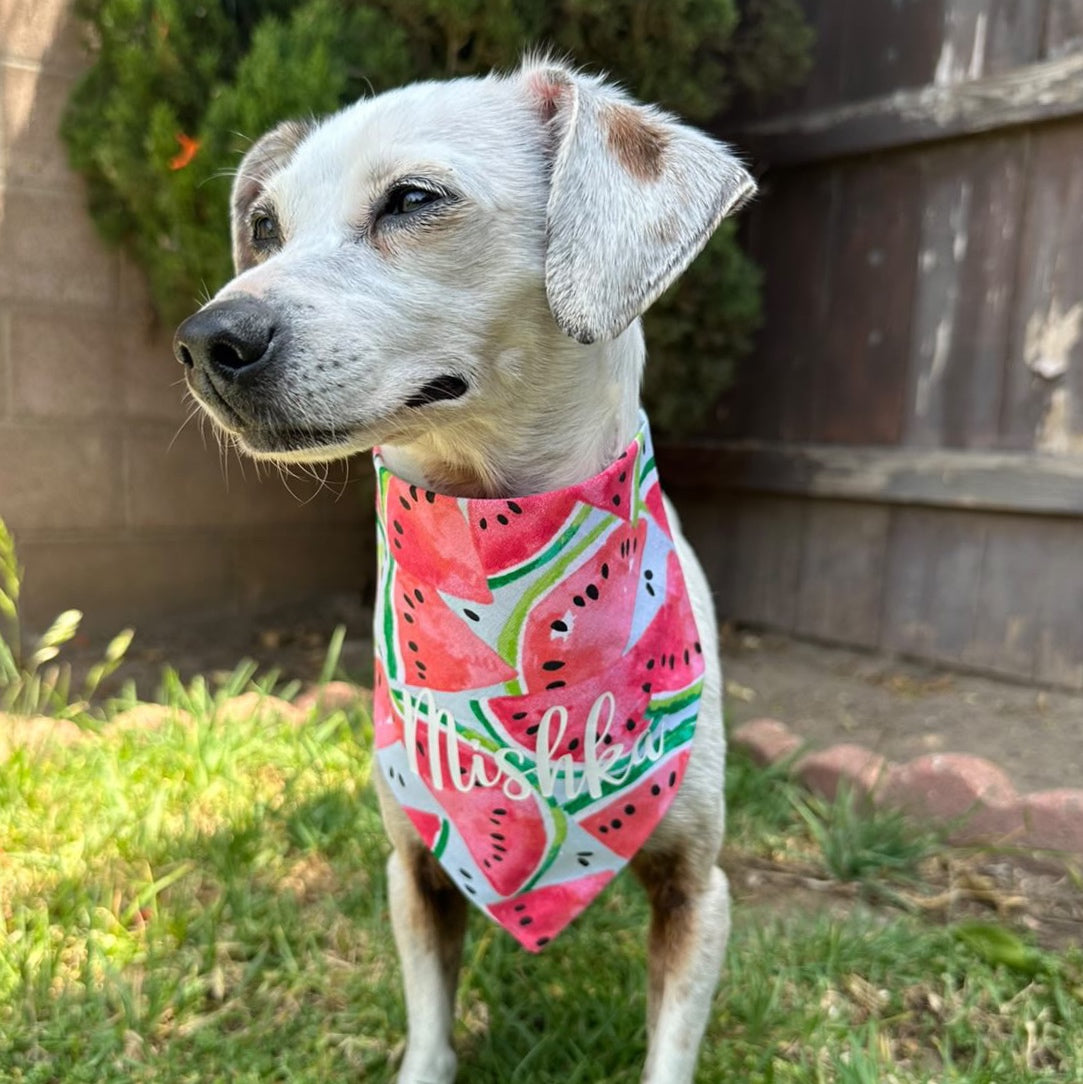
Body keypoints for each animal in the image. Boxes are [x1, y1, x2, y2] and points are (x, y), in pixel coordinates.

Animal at [175, 59, 754, 1084]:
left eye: (413, 199)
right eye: (266, 227)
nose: (208, 341)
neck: (492, 525)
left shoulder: (695, 891)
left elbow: (669, 1046)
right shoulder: (416, 870)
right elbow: (430, 1031)